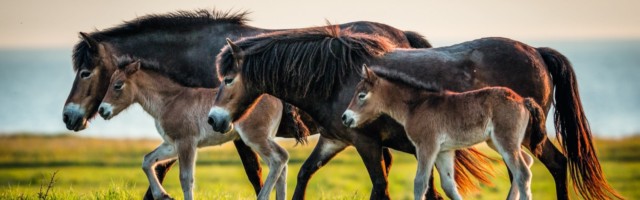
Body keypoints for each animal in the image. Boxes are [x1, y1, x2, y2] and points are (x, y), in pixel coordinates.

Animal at [99, 59, 288, 200]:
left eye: (118, 85)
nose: (102, 110)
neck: (170, 101)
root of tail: (277, 99)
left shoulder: (186, 142)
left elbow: (186, 178)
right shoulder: (172, 144)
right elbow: (147, 161)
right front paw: (163, 195)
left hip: (255, 137)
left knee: (278, 159)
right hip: (264, 138)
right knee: (281, 163)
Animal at [212, 27, 624, 200]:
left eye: (228, 78)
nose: (215, 120)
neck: (338, 77)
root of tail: (536, 52)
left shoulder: (366, 143)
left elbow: (380, 188)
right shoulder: (336, 139)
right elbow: (303, 176)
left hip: (521, 138)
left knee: (547, 167)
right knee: (545, 167)